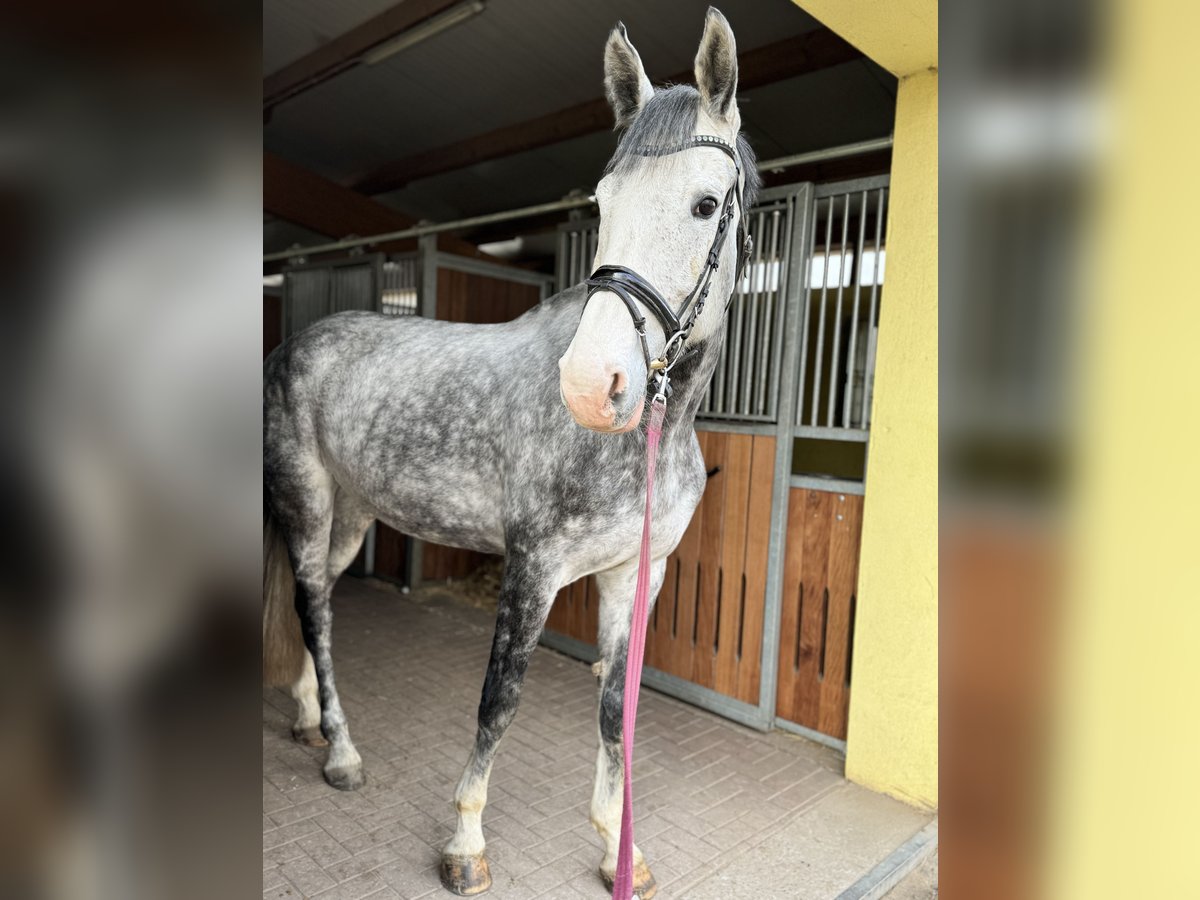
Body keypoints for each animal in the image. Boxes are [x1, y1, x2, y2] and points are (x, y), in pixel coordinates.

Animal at [264, 10, 758, 897]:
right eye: (600, 201)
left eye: (707, 205)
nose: (594, 385)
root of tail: (295, 345)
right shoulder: (534, 568)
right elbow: (500, 699)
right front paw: (465, 842)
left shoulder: (636, 572)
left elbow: (614, 709)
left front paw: (620, 848)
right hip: (308, 501)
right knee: (316, 610)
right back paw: (343, 753)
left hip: (351, 515)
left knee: (305, 601)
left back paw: (310, 719)